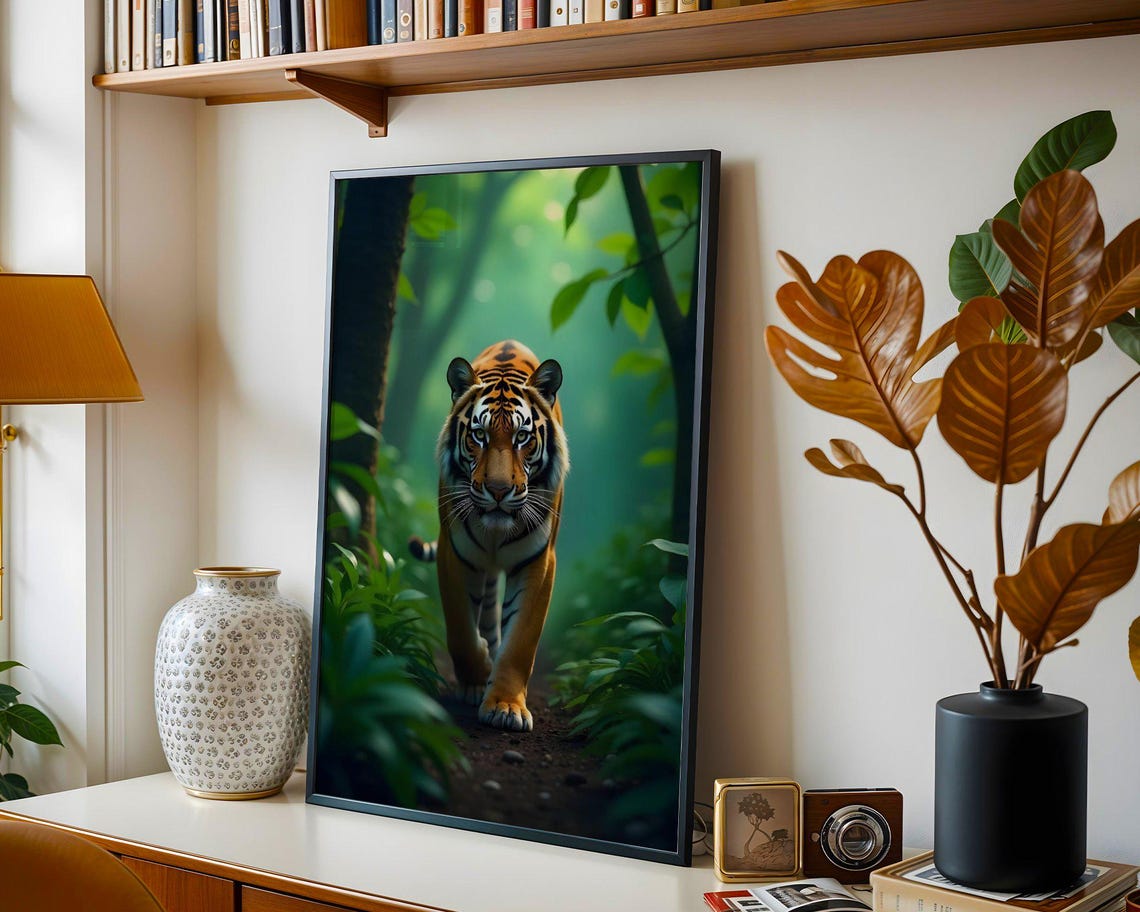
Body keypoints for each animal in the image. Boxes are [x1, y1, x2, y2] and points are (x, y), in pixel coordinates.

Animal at [409, 339, 568, 732]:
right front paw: (477, 672)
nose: (497, 490)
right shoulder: (455, 552)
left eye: (522, 437)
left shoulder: (539, 561)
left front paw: (505, 707)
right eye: (478, 435)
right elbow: (460, 630)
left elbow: (520, 642)